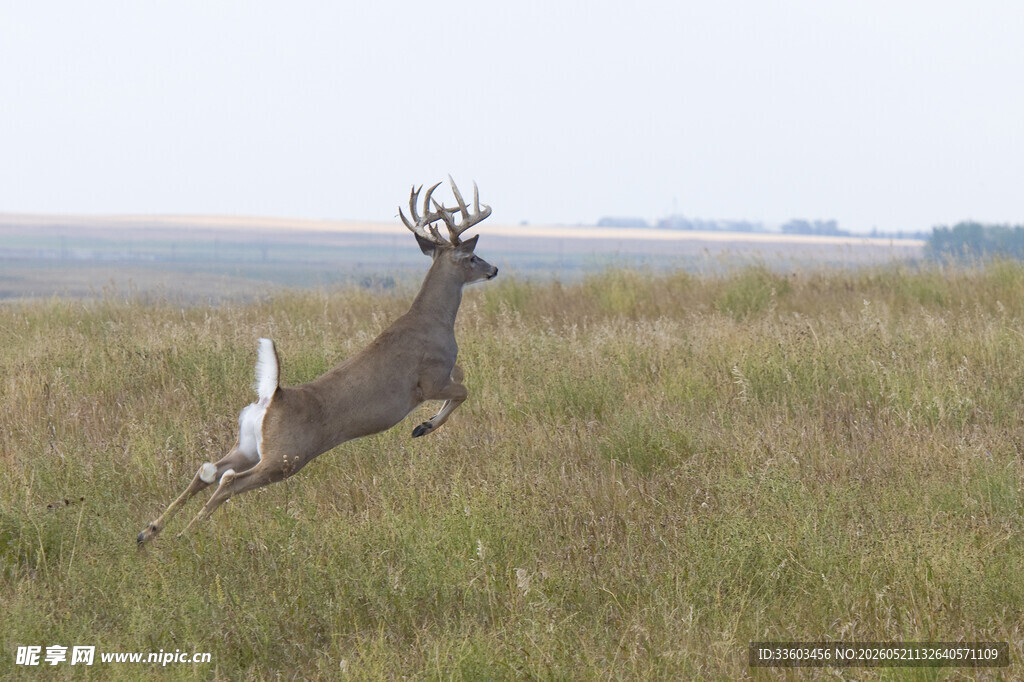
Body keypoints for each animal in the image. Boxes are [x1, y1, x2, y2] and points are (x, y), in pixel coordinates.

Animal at [137, 177, 497, 545]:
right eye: (472, 256)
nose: (494, 269)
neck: (434, 320)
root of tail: (273, 396)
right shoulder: (429, 380)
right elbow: (464, 389)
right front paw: (423, 426)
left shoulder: (441, 376)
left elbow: (463, 377)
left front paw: (424, 425)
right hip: (286, 457)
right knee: (227, 482)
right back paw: (183, 537)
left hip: (250, 446)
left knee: (206, 471)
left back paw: (148, 532)